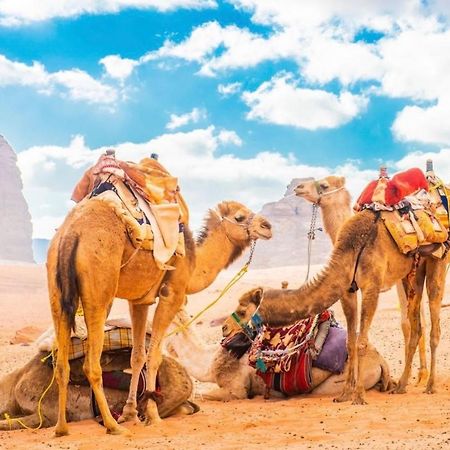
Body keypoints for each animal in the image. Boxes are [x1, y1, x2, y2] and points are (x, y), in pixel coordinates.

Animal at [48, 192, 270, 434]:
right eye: (240, 217)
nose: (267, 226)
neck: (193, 261)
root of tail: (72, 232)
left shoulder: (139, 301)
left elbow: (137, 356)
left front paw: (130, 413)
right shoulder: (171, 295)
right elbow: (154, 356)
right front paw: (153, 415)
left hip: (57, 295)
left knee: (61, 364)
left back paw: (61, 428)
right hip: (99, 292)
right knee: (91, 364)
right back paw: (112, 426)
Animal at [221, 209, 446, 406]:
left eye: (242, 311)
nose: (224, 328)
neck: (350, 248)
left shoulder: (371, 286)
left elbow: (361, 342)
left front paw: (359, 396)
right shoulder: (347, 289)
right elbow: (350, 342)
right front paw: (345, 394)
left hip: (438, 260)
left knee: (434, 322)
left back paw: (430, 386)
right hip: (412, 273)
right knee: (415, 324)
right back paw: (401, 386)